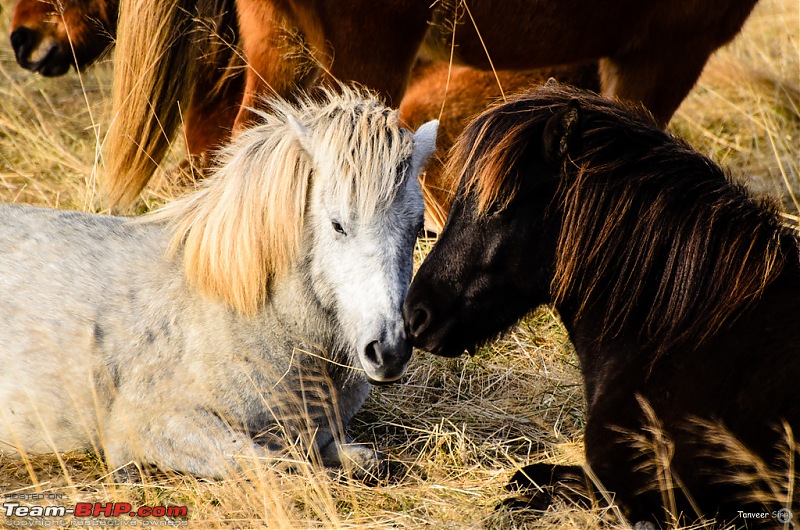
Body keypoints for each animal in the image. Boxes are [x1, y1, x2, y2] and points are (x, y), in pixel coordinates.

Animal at [0, 88, 438, 476]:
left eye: (418, 228)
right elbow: (280, 467)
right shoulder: (156, 427)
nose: (390, 351)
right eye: (337, 225)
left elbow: (365, 460)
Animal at [406, 82, 800, 524]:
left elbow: (535, 491)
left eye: (499, 205)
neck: (683, 329)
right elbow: (528, 474)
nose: (415, 315)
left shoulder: (647, 499)